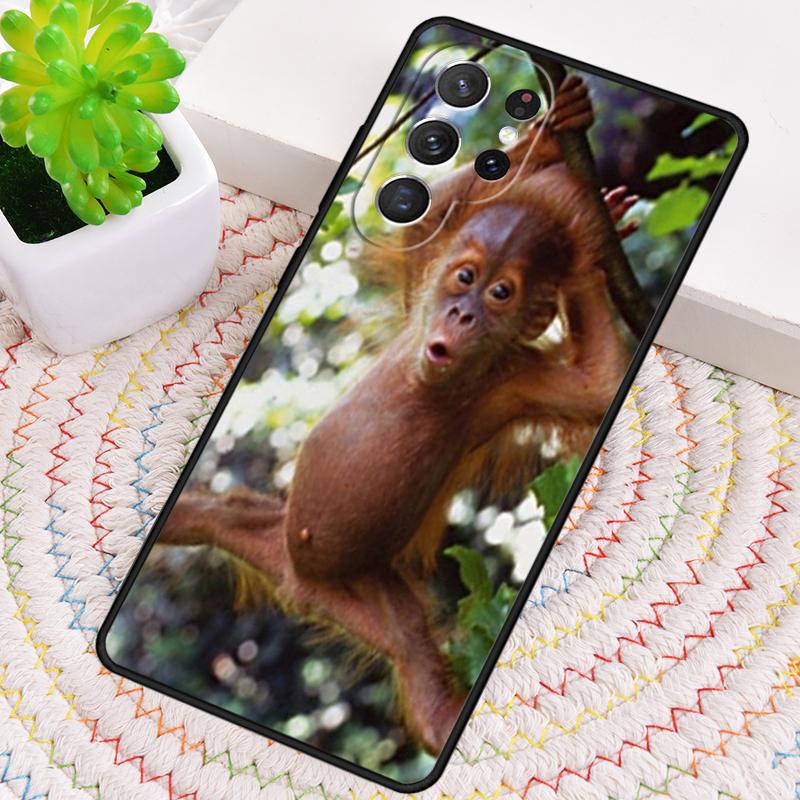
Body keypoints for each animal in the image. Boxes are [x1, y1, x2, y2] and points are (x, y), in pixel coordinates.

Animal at [156, 74, 639, 754]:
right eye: (465, 277)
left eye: (500, 293)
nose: (460, 314)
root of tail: (295, 584)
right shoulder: (419, 295)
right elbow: (425, 223)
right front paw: (551, 142)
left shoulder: (516, 385)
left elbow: (596, 387)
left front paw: (592, 244)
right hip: (270, 534)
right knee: (201, 514)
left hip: (370, 595)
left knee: (415, 661)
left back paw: (443, 717)